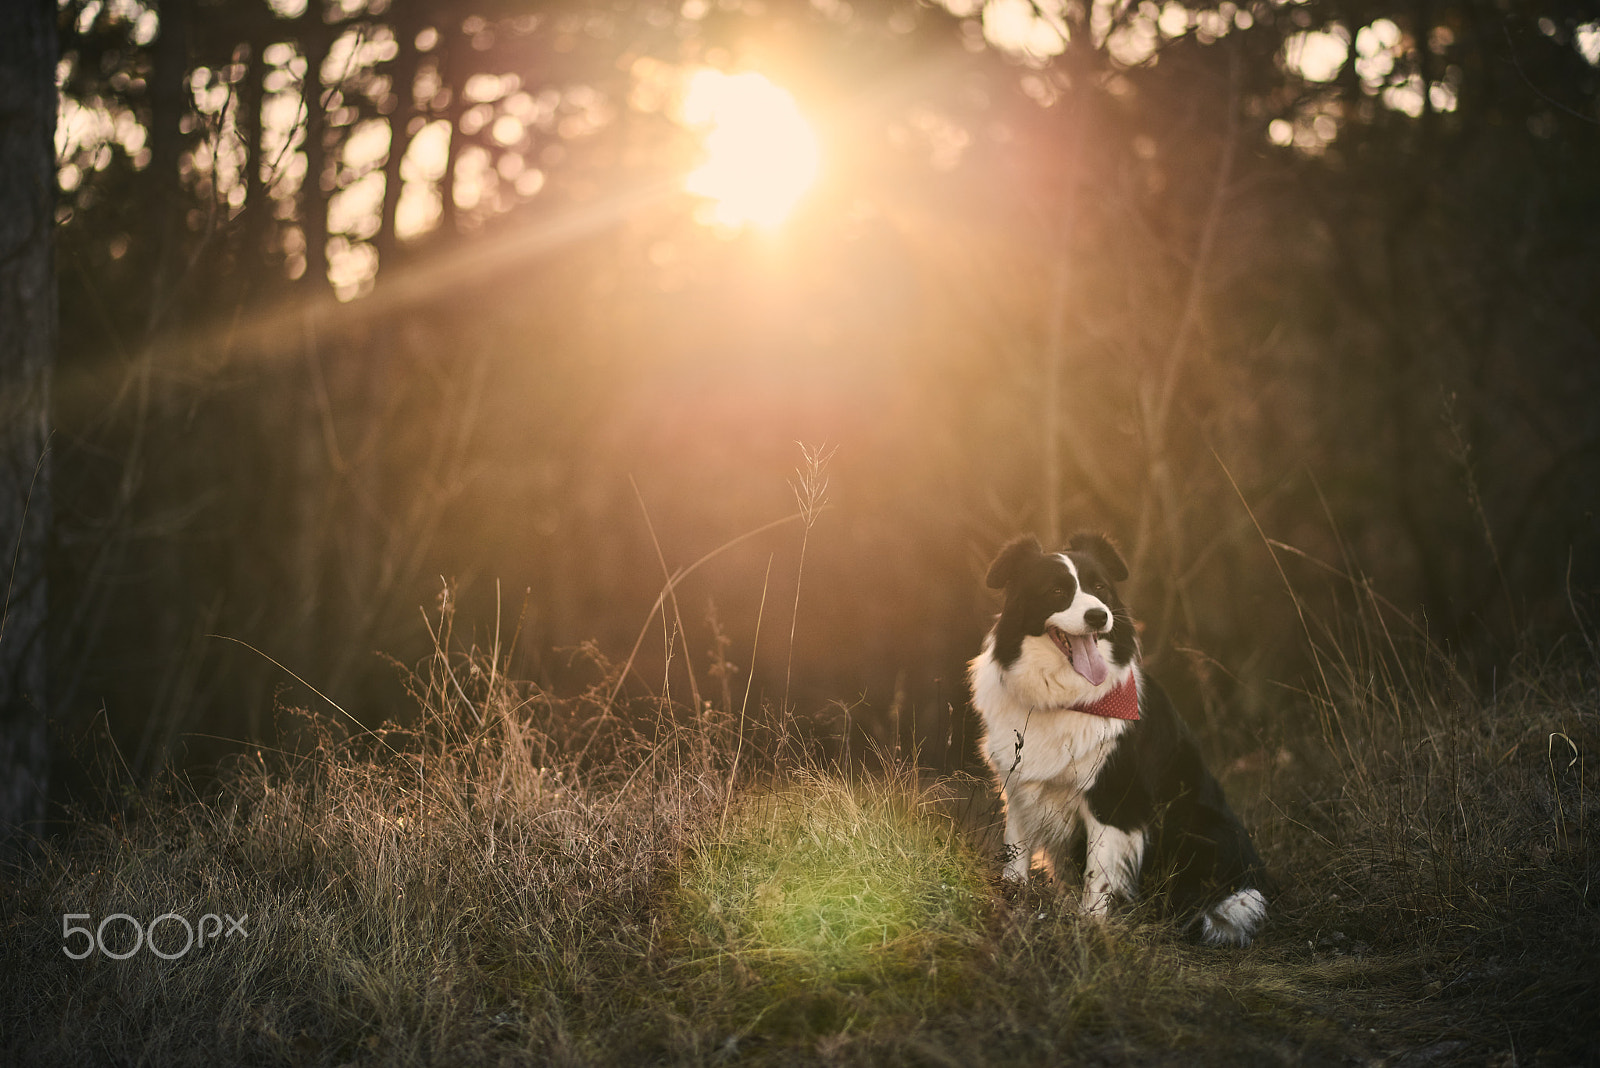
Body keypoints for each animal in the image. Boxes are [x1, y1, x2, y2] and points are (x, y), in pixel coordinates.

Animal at [966, 534, 1267, 940]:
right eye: (1057, 590)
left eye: (1101, 588)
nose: (1098, 615)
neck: (1066, 698)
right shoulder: (1021, 788)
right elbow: (1016, 855)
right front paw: (1015, 904)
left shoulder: (1114, 797)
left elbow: (1099, 874)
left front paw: (1090, 929)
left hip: (1200, 828)